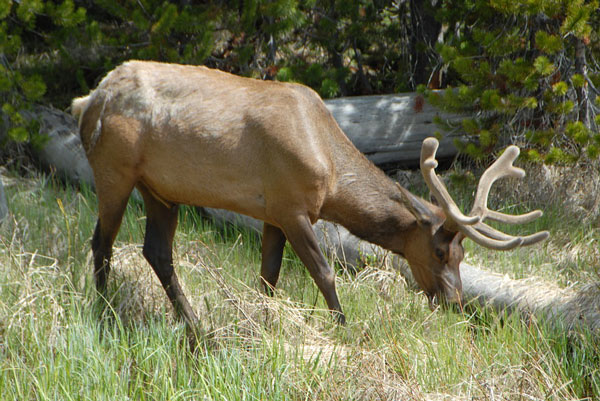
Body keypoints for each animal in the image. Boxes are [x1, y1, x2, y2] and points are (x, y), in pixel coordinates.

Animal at [71, 60, 548, 328]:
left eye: (464, 255)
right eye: (440, 251)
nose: (455, 302)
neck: (331, 174)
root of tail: (88, 100)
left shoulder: (271, 212)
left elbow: (268, 278)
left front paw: (261, 323)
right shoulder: (291, 206)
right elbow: (324, 273)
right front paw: (344, 328)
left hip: (160, 189)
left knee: (157, 251)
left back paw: (194, 325)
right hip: (114, 170)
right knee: (101, 242)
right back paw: (104, 310)